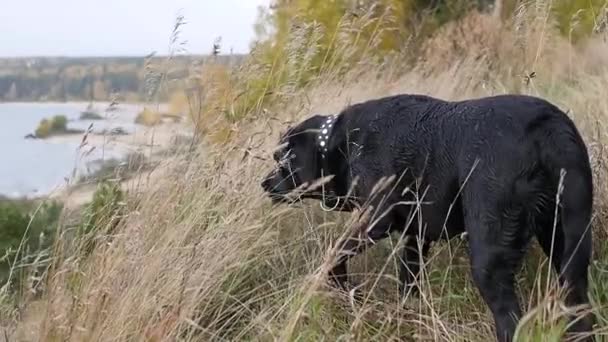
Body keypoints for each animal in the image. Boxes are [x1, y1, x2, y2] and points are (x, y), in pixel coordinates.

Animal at [260, 92, 592, 340]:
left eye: (282, 158)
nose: (264, 183)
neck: (343, 144)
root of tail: (544, 126)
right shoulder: (414, 236)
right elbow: (408, 280)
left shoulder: (376, 219)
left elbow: (335, 254)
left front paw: (342, 286)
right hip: (568, 241)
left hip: (490, 255)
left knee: (510, 320)